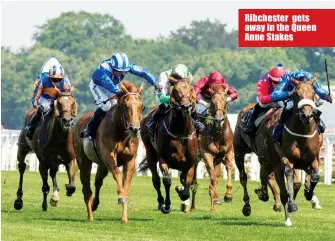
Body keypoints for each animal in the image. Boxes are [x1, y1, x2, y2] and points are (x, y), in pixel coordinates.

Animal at [73, 80, 144, 222]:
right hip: (84, 162)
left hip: (101, 165)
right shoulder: (108, 156)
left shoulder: (130, 160)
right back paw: (90, 216)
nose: (135, 129)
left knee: (98, 181)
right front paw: (121, 197)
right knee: (86, 189)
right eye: (126, 105)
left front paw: (124, 217)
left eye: (141, 106)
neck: (121, 133)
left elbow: (126, 185)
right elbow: (117, 174)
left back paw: (94, 204)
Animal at [140, 77, 200, 213]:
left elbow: (186, 185)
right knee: (156, 180)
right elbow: (167, 181)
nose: (186, 107)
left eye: (191, 89)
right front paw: (166, 205)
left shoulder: (190, 164)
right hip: (150, 153)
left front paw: (181, 192)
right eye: (176, 90)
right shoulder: (164, 159)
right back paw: (161, 201)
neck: (180, 132)